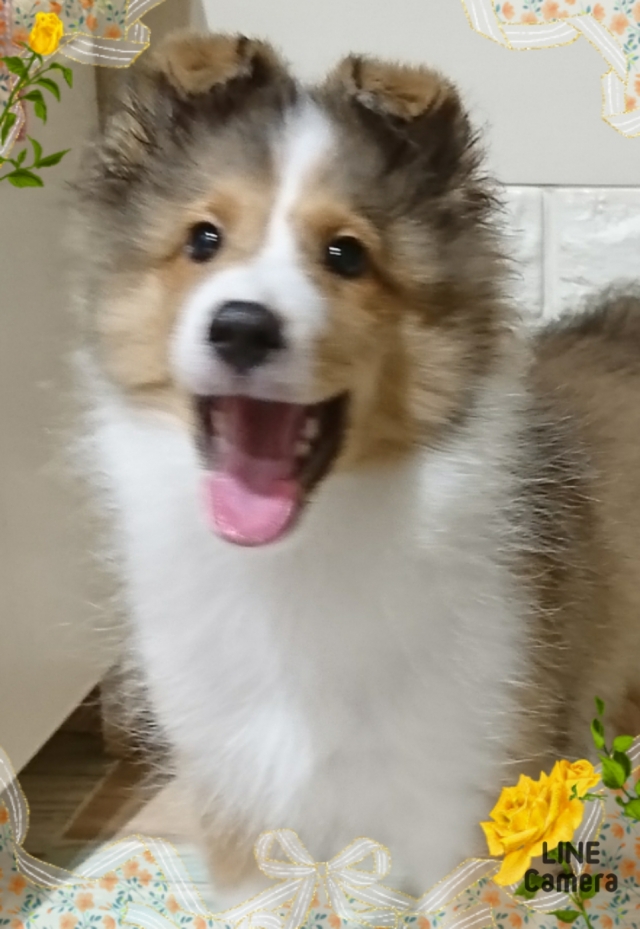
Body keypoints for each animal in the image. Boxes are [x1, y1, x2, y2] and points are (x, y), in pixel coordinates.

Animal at [74, 31, 640, 900]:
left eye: (346, 255)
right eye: (202, 239)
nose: (241, 327)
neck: (299, 565)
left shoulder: (465, 797)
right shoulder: (244, 807)